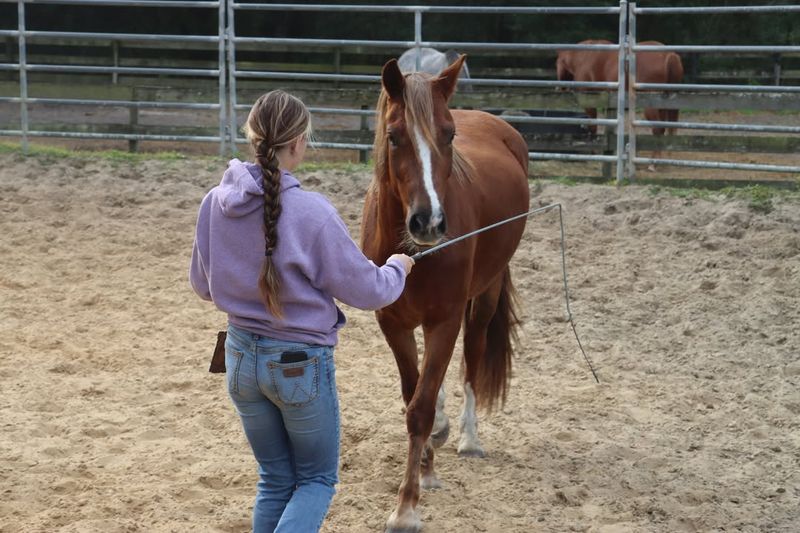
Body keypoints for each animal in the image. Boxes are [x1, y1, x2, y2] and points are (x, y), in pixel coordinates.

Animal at [362, 55, 532, 532]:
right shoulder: (393, 323)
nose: (430, 222)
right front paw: (425, 467)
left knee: (473, 356)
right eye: (394, 136)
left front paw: (406, 507)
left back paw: (468, 438)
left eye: (449, 134)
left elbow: (419, 407)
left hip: (485, 296)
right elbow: (412, 395)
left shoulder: (446, 320)